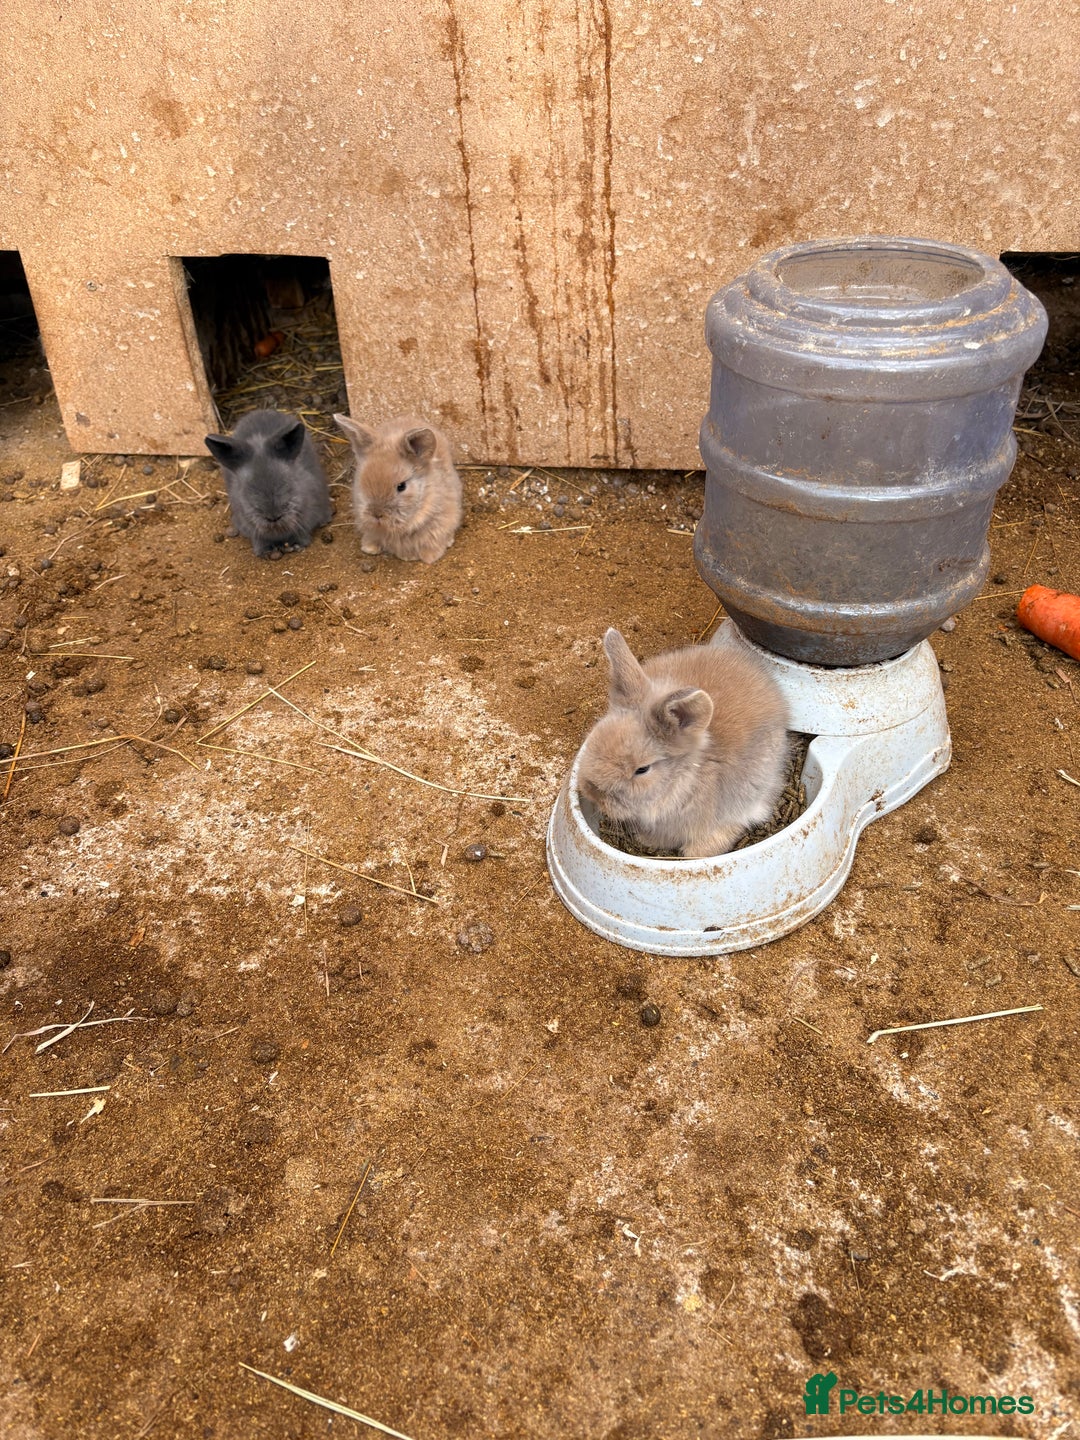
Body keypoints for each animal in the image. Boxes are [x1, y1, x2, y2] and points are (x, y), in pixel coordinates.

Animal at [205, 410, 332, 559]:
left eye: (287, 481)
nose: (273, 517)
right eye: (247, 487)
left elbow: (303, 533)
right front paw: (266, 551)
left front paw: (296, 545)